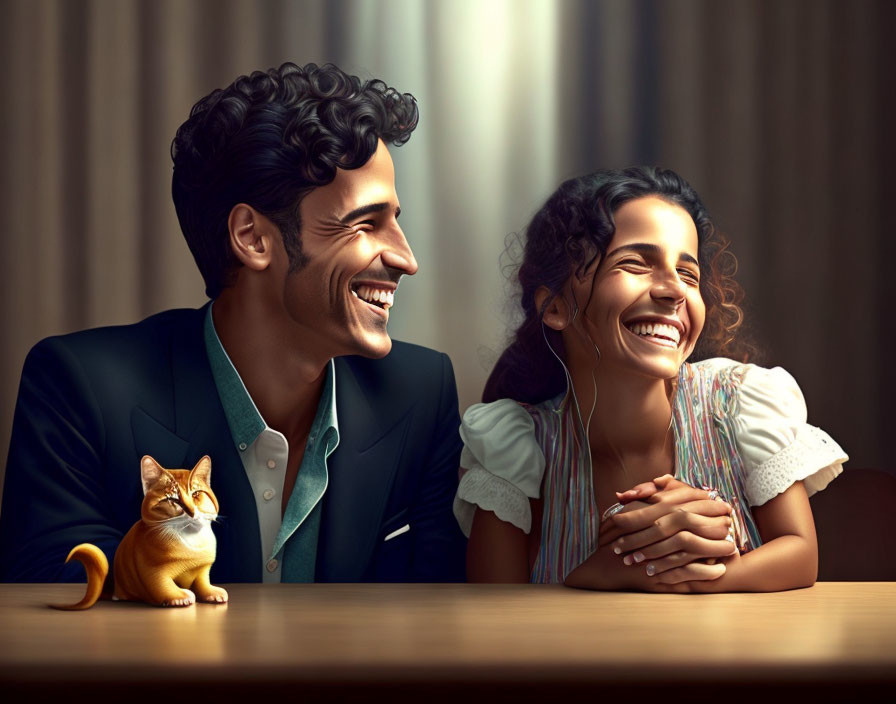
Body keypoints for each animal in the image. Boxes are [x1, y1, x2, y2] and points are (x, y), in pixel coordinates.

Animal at [51, 454, 228, 608]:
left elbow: (202, 581)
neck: (191, 542)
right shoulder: (151, 571)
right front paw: (179, 596)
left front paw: (211, 592)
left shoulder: (202, 570)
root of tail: (116, 588)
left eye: (196, 494)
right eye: (172, 499)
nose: (192, 512)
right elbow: (162, 585)